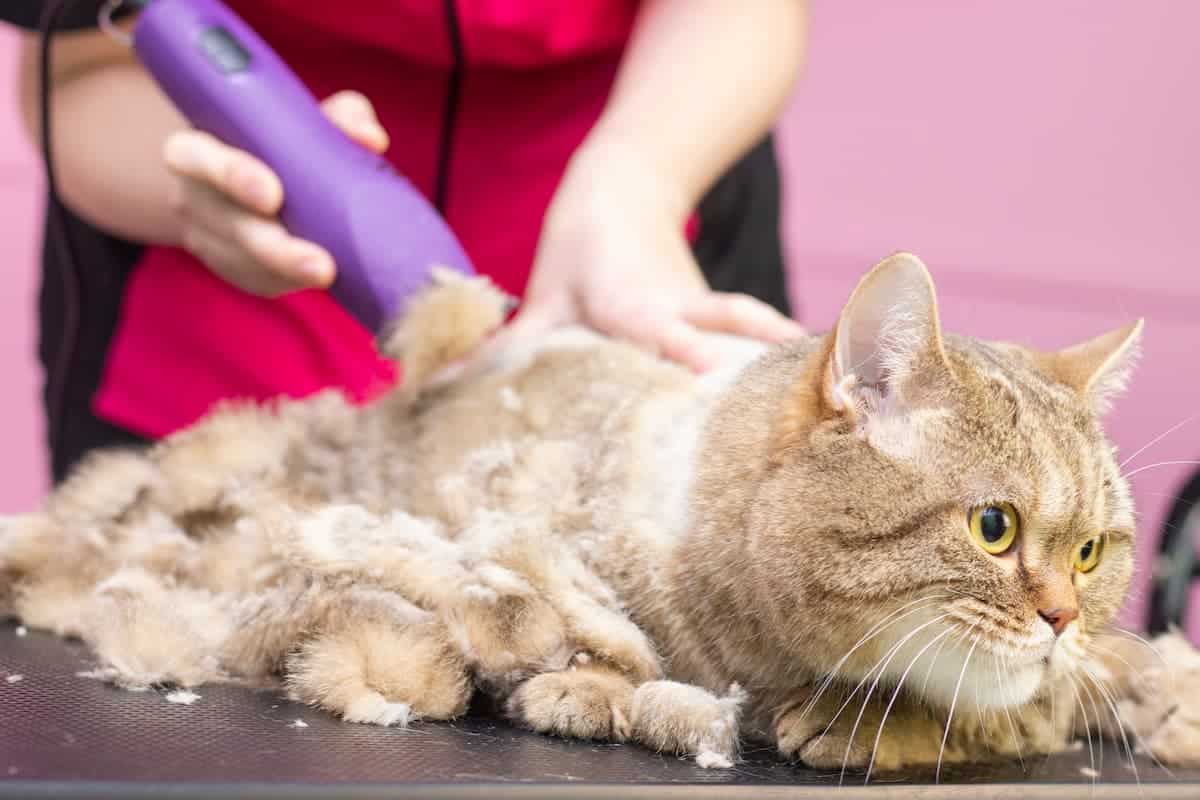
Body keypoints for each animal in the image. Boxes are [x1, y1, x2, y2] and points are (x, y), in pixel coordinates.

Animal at [2, 251, 1200, 777]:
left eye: (1091, 552)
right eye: (994, 527)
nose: (1061, 620)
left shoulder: (1050, 697)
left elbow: (1002, 717)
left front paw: (881, 723)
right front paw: (590, 686)